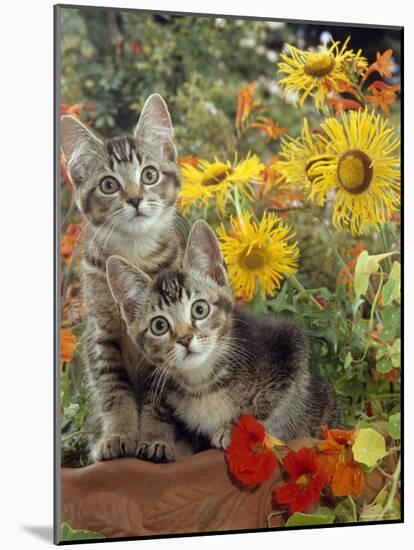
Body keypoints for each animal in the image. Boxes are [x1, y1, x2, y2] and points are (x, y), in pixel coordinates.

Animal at [60, 94, 181, 462]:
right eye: (109, 184)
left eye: (149, 175)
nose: (135, 198)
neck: (133, 254)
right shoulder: (102, 333)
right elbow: (114, 391)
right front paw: (117, 436)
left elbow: (159, 397)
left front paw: (156, 439)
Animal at [105, 221, 342, 462]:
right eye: (159, 325)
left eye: (200, 309)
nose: (185, 339)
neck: (203, 384)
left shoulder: (289, 349)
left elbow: (270, 405)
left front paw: (235, 430)